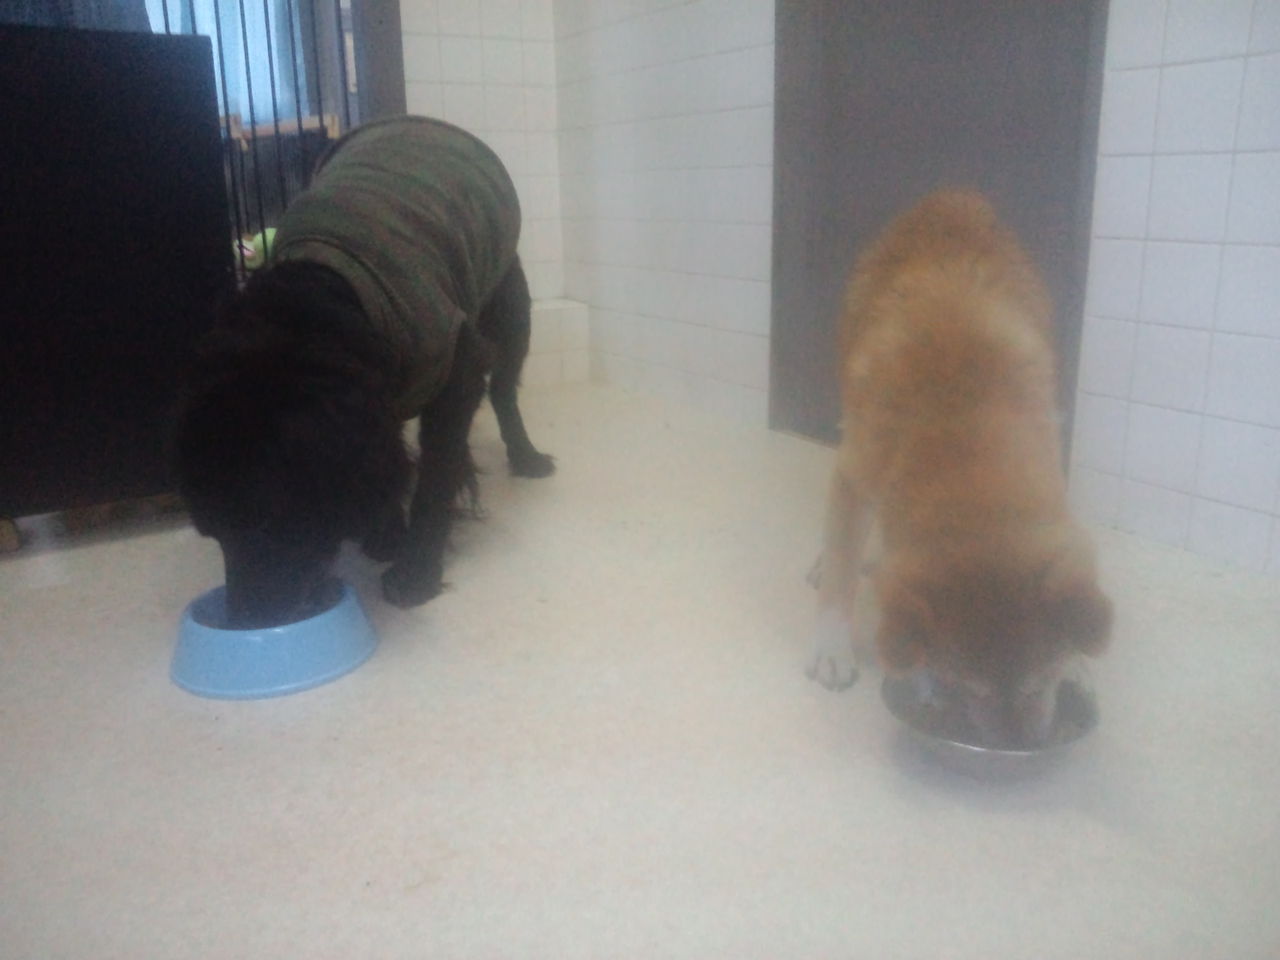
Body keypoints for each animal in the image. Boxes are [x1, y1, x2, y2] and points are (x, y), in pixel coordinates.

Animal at [175, 117, 554, 628]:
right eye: (212, 532)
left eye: (266, 522)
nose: (243, 624)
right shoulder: (374, 397)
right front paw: (387, 534)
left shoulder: (456, 364)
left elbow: (435, 477)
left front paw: (416, 571)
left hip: (511, 309)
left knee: (506, 393)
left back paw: (527, 457)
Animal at [806, 190, 1111, 747]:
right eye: (969, 685)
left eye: (1043, 678)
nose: (1015, 744)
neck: (965, 425)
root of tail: (950, 197)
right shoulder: (854, 474)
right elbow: (840, 570)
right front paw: (831, 648)